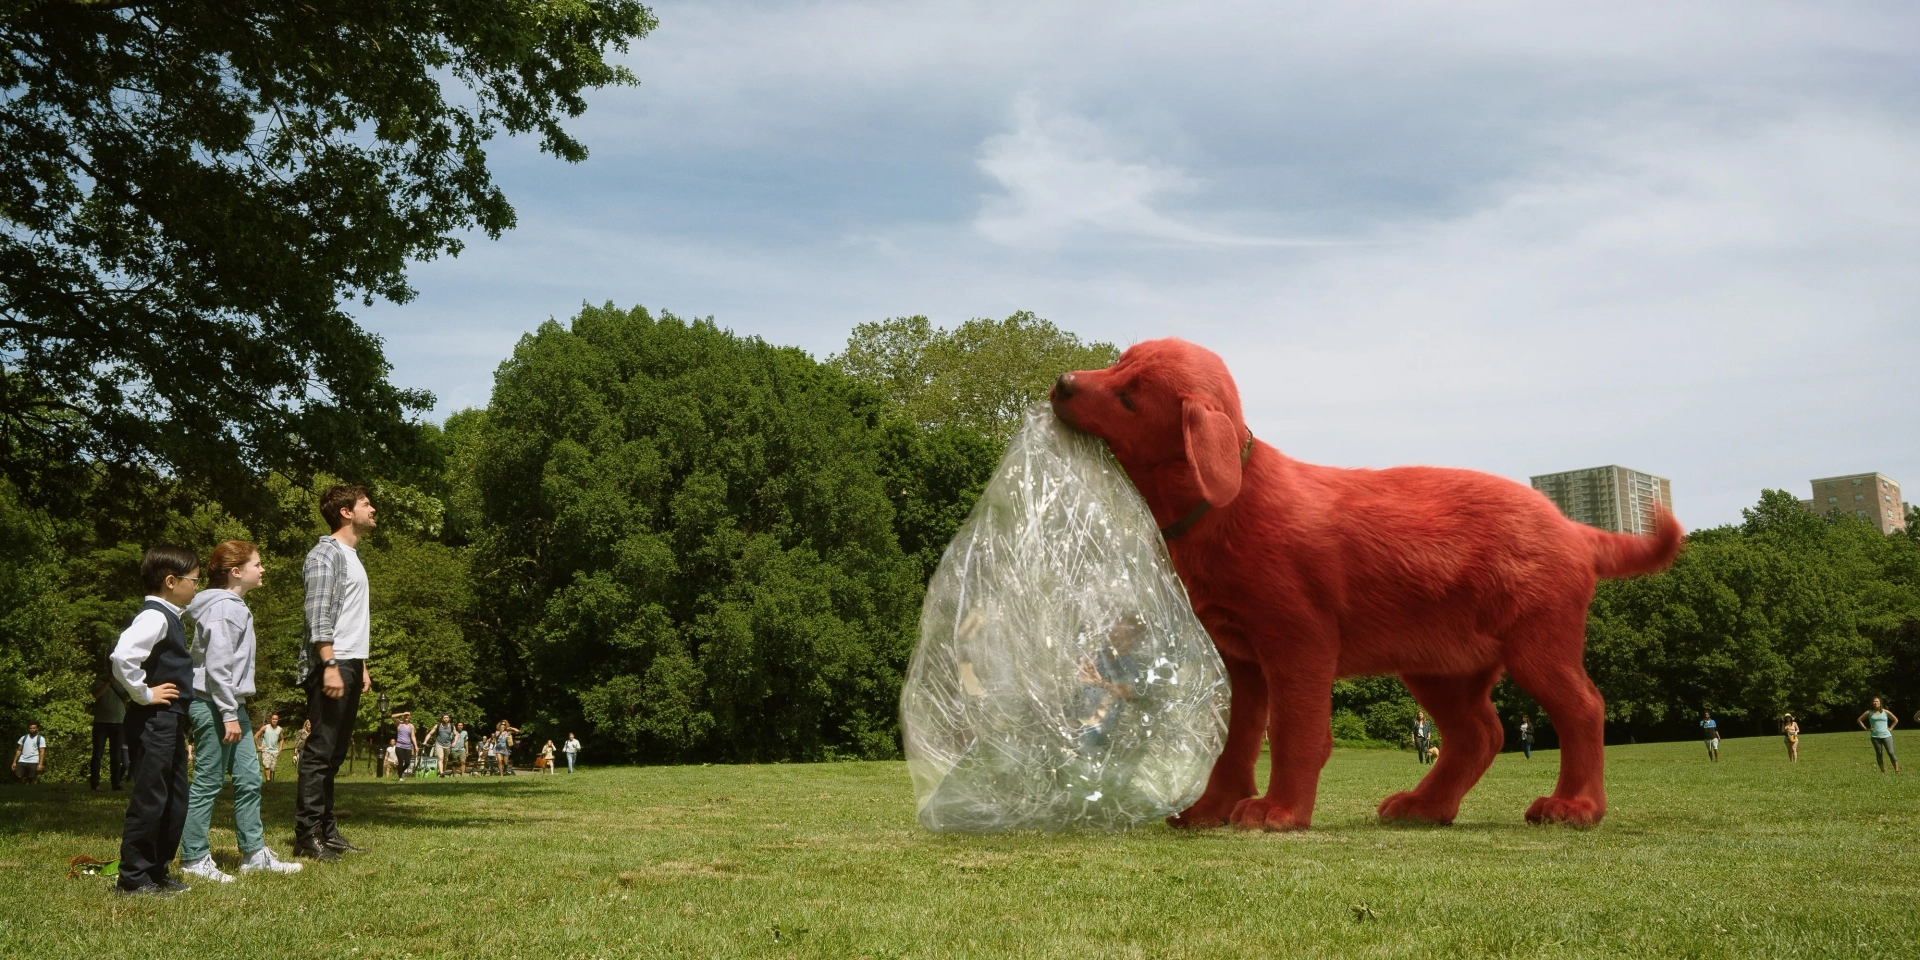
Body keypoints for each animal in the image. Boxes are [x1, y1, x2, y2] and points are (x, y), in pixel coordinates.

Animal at [1052, 337, 1681, 825]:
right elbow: (1237, 741)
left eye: (1130, 397)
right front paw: (1211, 811)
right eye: (1116, 361)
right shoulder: (1243, 658)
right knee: (1481, 733)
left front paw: (1278, 813)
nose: (1061, 382)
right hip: (1440, 666)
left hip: (1538, 642)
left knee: (1583, 709)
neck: (1224, 508)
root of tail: (1574, 528)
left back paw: (1575, 807)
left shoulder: (1299, 642)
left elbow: (1296, 732)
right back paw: (1426, 808)